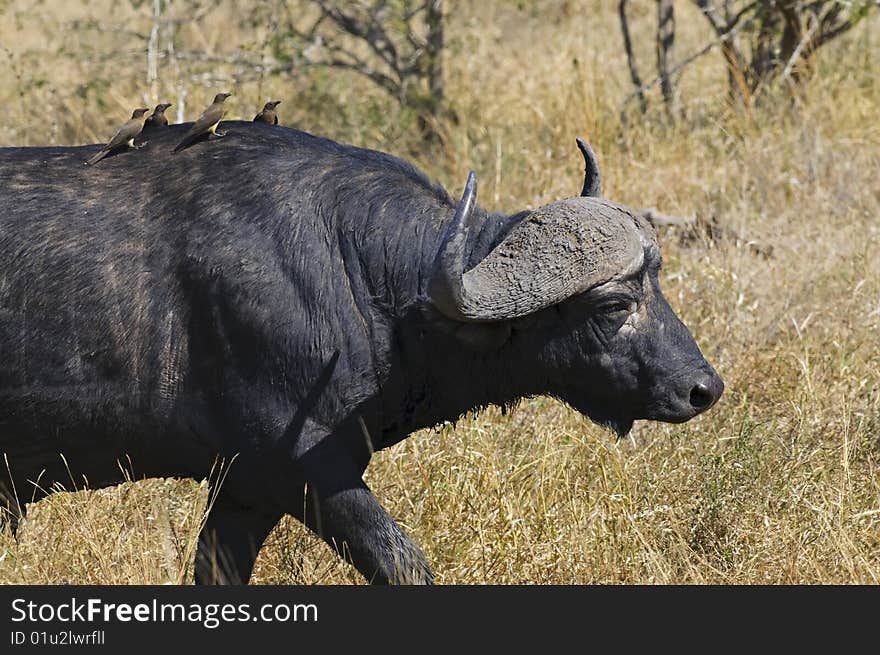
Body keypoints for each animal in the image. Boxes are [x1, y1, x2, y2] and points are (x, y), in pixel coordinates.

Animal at [0, 123, 720, 584]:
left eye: (656, 279)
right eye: (612, 306)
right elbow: (402, 562)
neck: (350, 269)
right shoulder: (304, 467)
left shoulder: (244, 490)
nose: (702, 388)